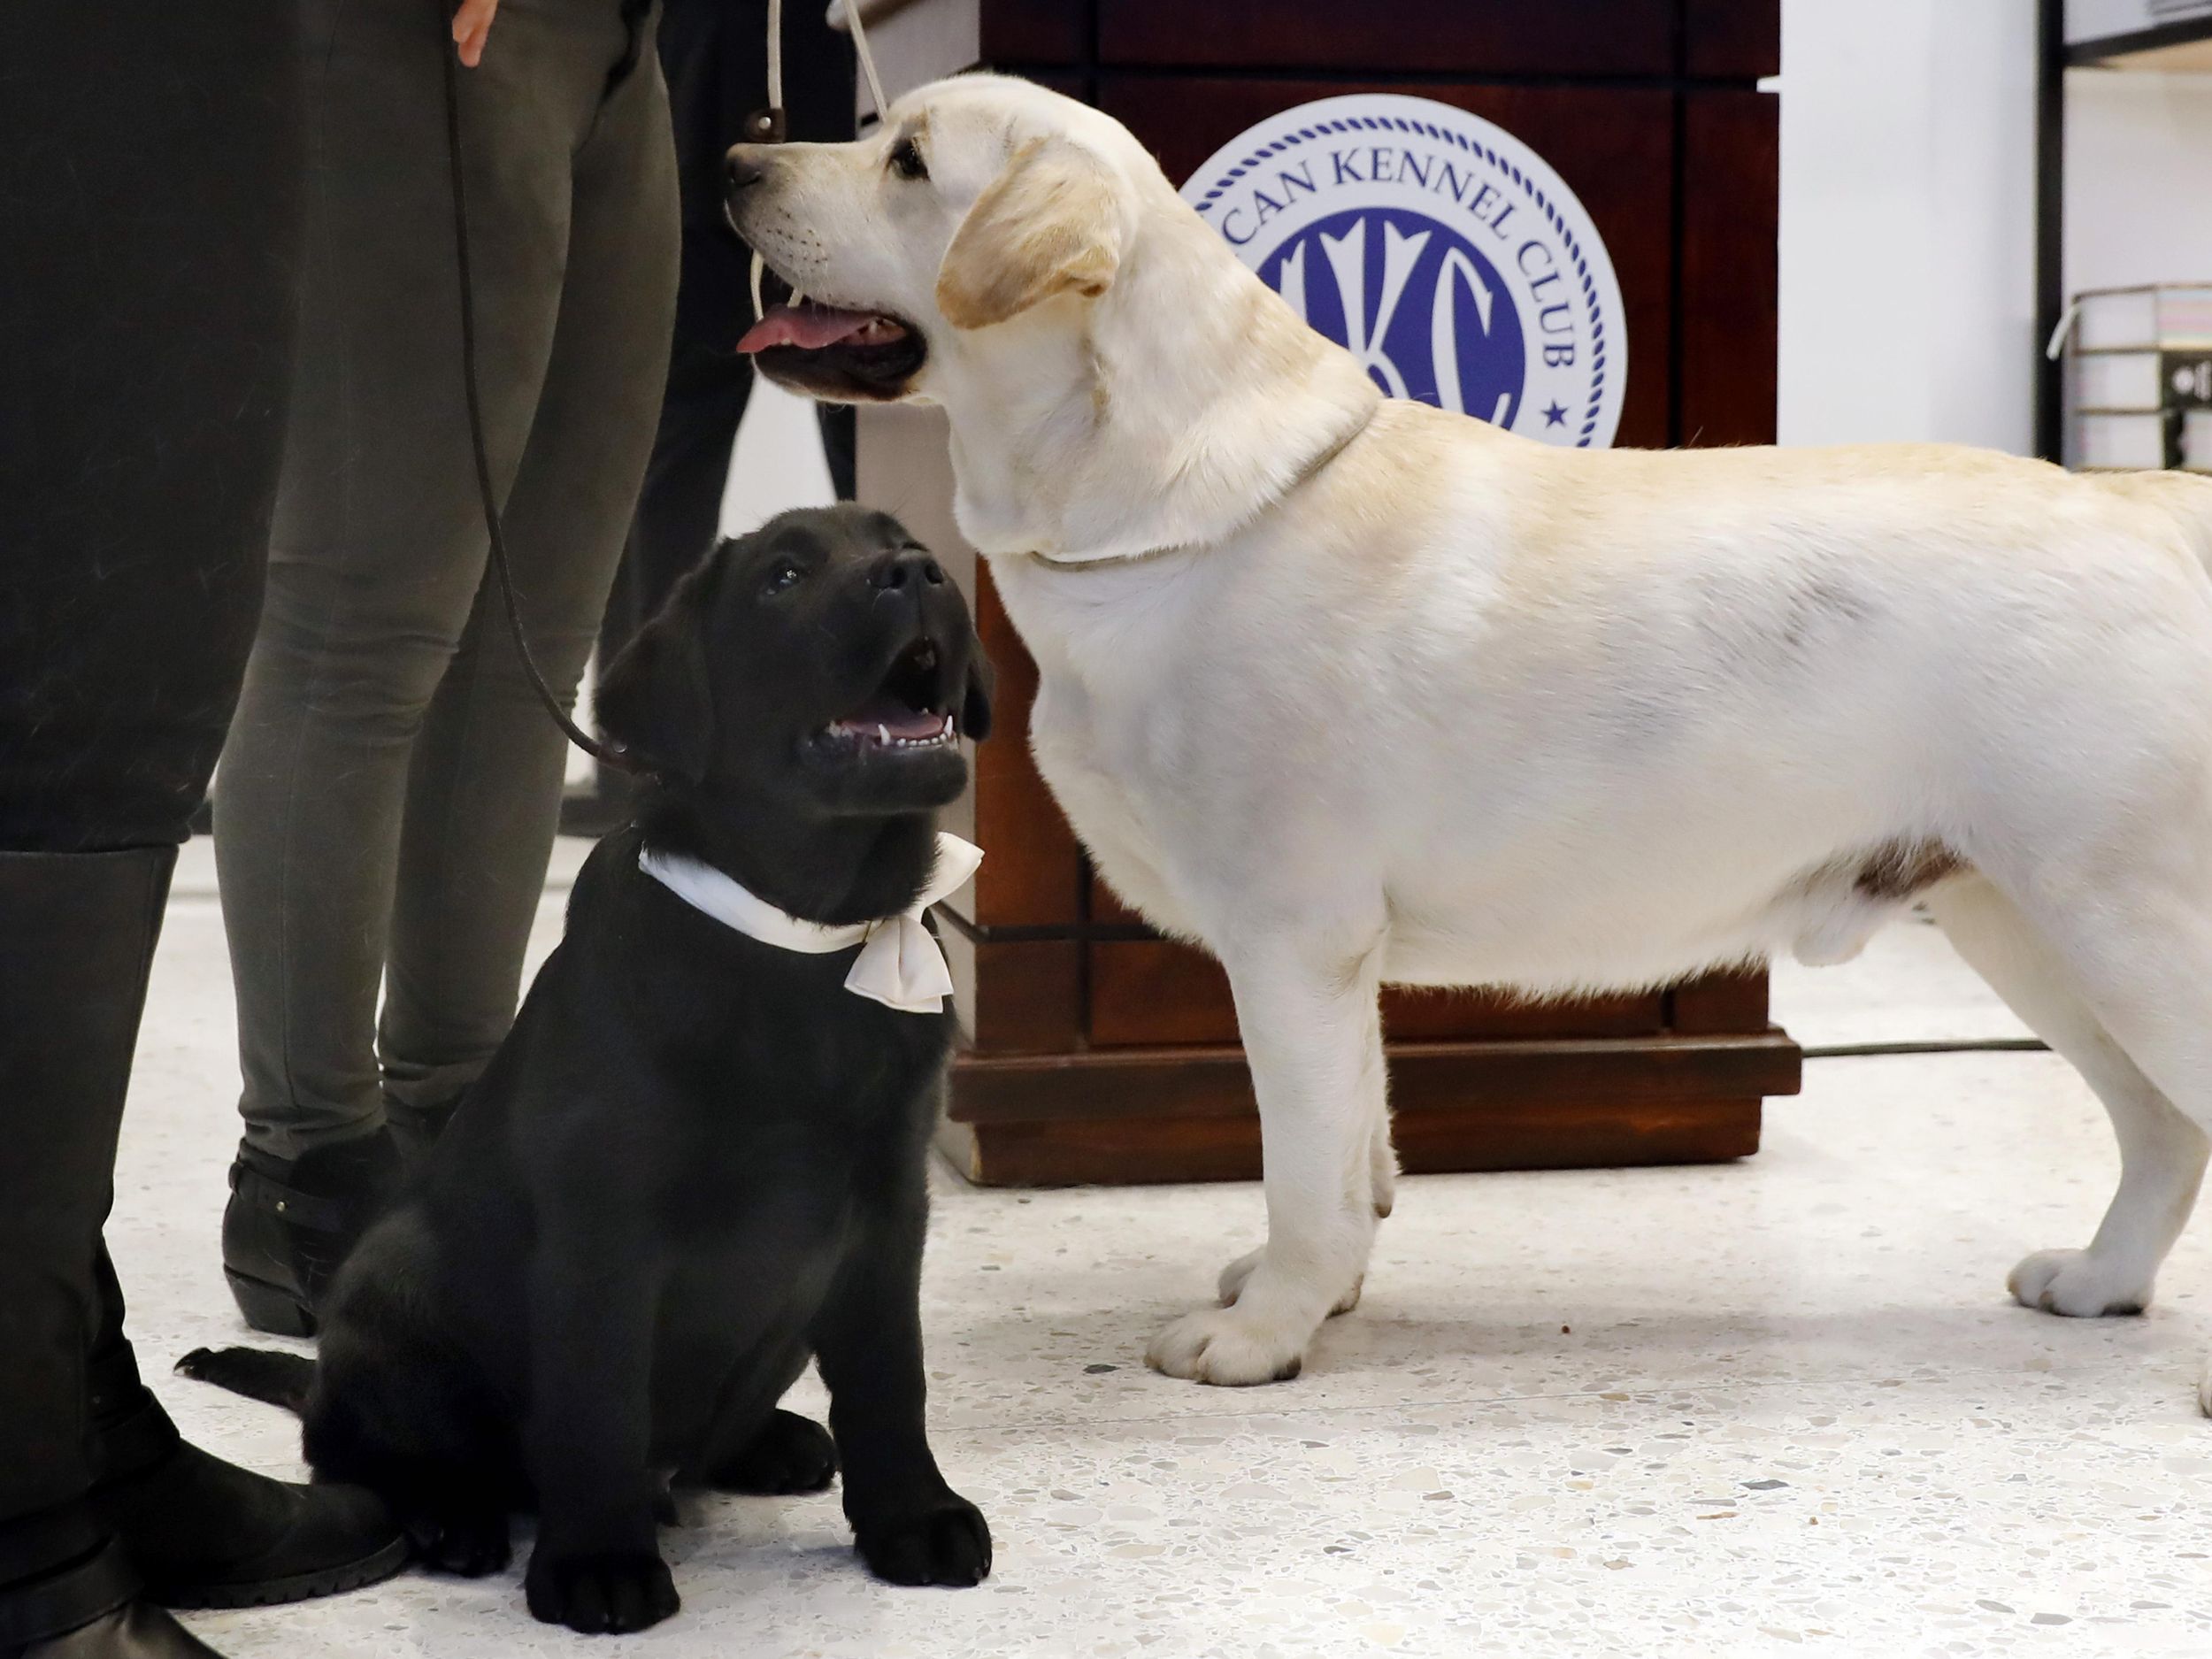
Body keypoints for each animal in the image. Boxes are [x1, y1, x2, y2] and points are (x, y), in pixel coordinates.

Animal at [181, 504, 995, 1637]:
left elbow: (889, 1375)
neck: (803, 937)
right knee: (350, 1448)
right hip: (394, 1276)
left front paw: (912, 1519)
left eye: (903, 537)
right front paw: (597, 1564)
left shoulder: (886, 1205)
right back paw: (451, 1516)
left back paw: (769, 1441)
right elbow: (596, 1403)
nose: (917, 574)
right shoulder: (605, 1222)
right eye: (783, 579)